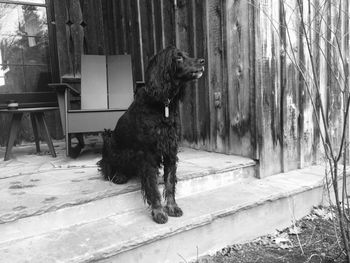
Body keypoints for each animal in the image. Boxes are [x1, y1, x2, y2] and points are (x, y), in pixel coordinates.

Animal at [97, 46, 205, 224]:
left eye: (187, 54)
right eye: (178, 58)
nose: (202, 61)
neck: (163, 104)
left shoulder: (170, 148)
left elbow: (169, 182)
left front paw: (172, 207)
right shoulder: (148, 153)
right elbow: (153, 186)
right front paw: (158, 212)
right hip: (109, 140)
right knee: (107, 166)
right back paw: (118, 175)